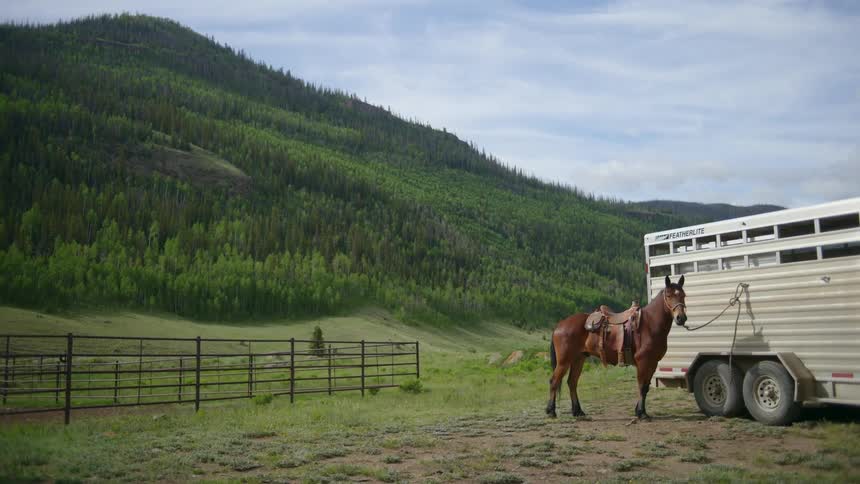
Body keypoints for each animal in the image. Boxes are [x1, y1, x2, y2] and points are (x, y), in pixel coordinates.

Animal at [545, 275, 688, 420]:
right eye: (669, 296)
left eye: (683, 295)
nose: (681, 318)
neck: (649, 324)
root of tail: (560, 325)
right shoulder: (643, 361)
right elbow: (642, 386)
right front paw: (641, 413)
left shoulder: (652, 363)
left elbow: (646, 387)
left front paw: (639, 411)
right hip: (564, 361)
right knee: (554, 381)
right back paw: (551, 411)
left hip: (578, 359)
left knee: (572, 382)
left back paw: (577, 411)